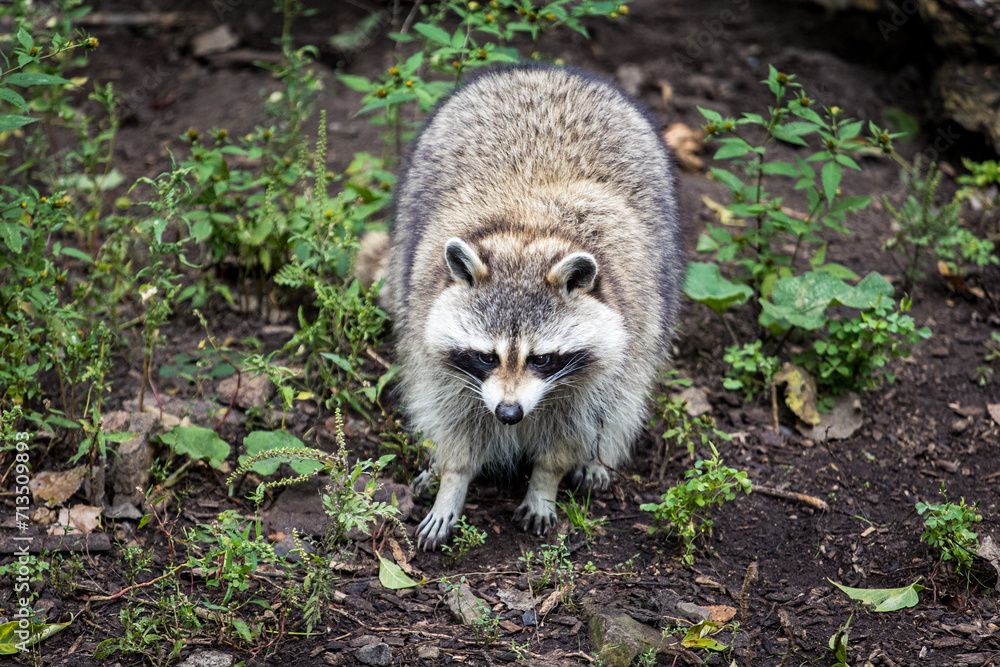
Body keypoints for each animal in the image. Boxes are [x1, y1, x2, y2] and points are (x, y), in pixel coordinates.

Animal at [376, 63, 683, 550]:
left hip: (658, 278)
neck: (528, 232)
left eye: (541, 359)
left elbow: (576, 428)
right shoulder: (433, 339)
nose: (508, 414)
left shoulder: (609, 352)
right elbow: (452, 419)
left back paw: (599, 457)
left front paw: (545, 482)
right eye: (486, 356)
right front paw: (451, 480)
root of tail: (546, 70)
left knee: (626, 398)